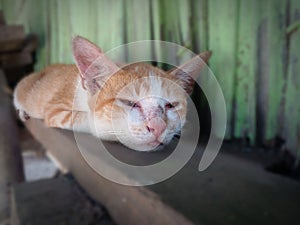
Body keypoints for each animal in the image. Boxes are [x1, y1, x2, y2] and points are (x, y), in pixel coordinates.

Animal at [14, 36, 211, 151]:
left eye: (171, 105)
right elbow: (86, 119)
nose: (158, 127)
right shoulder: (55, 109)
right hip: (21, 88)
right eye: (130, 103)